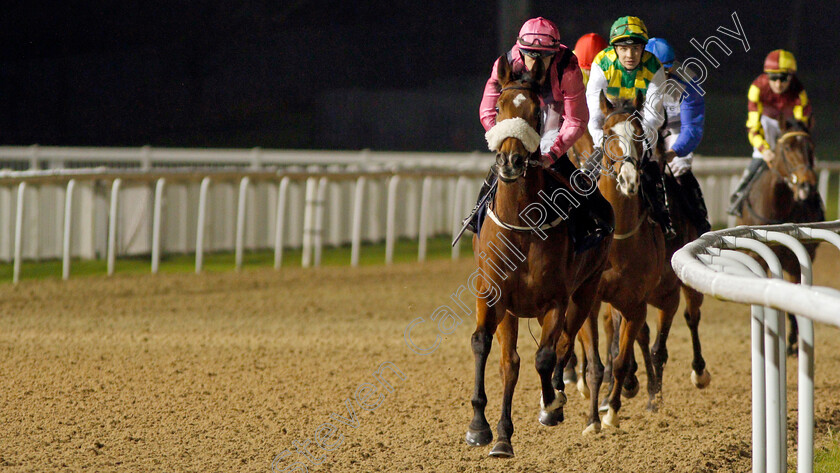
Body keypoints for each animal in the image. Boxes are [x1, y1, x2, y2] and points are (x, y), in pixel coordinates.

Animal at [466, 53, 612, 456]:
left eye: (536, 111)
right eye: (498, 107)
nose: (511, 162)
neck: (522, 225)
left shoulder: (556, 301)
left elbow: (546, 356)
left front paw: (551, 404)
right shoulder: (494, 296)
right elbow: (488, 348)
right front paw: (484, 428)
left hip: (586, 292)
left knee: (563, 345)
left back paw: (557, 398)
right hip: (514, 311)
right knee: (511, 361)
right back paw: (503, 432)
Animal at [740, 117, 824, 354]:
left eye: (811, 147)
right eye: (787, 148)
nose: (807, 184)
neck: (777, 209)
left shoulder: (798, 259)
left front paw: (793, 340)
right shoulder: (759, 256)